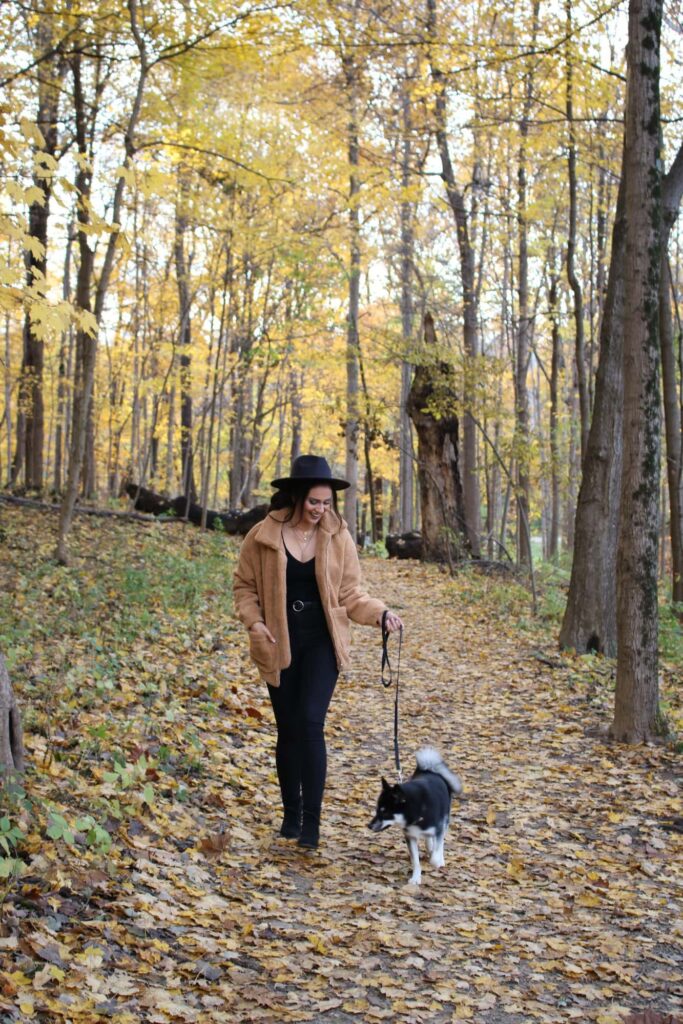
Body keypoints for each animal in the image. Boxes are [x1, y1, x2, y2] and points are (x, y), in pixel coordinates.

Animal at [368, 749, 464, 884]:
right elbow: (416, 861)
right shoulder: (410, 836)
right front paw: (416, 878)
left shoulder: (439, 828)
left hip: (445, 819)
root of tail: (429, 770)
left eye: (385, 812)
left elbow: (436, 853)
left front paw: (437, 860)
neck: (419, 810)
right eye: (377, 810)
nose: (369, 825)